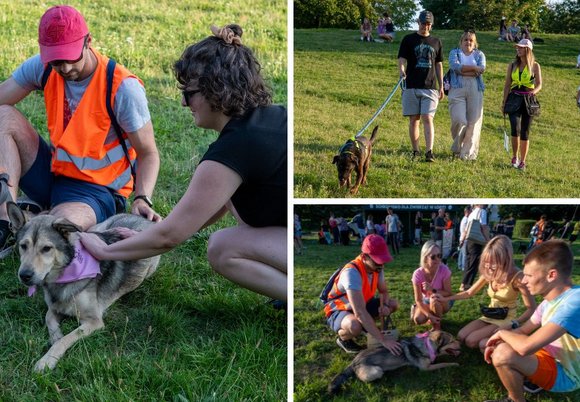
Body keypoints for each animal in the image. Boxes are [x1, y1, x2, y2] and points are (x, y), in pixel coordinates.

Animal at [7, 201, 160, 372]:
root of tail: (142, 217)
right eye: (23, 246)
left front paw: (47, 360)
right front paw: (55, 337)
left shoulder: (94, 321)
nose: (24, 275)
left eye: (46, 248)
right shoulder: (54, 308)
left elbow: (67, 338)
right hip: (100, 227)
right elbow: (49, 319)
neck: (64, 275)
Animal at [328, 330, 461, 394]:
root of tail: (354, 361)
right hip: (376, 371)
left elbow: (439, 360)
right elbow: (443, 364)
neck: (427, 345)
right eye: (452, 341)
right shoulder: (425, 369)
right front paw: (455, 364)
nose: (461, 343)